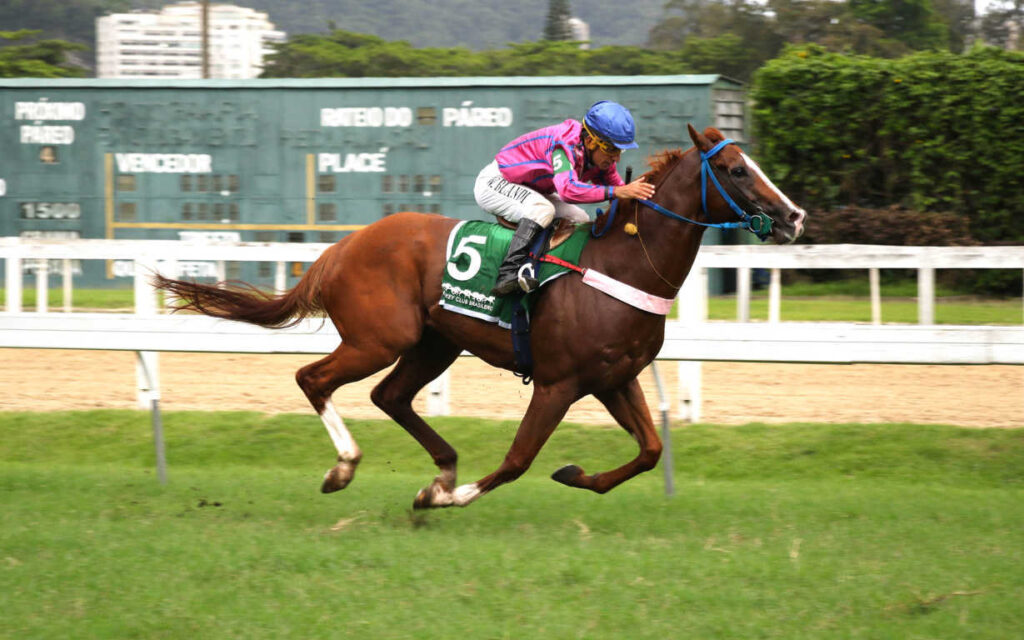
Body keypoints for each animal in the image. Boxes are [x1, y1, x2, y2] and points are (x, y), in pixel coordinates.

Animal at [153, 124, 806, 509]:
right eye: (737, 170)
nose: (794, 216)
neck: (622, 265)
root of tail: (344, 246)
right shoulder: (558, 382)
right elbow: (518, 460)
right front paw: (447, 499)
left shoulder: (615, 378)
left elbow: (649, 451)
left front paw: (574, 475)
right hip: (379, 338)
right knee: (312, 379)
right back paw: (348, 468)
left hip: (432, 342)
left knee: (390, 397)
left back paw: (441, 468)